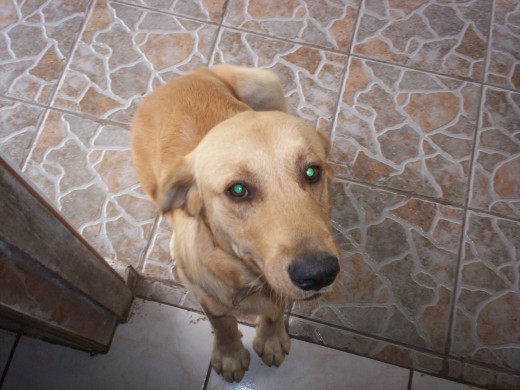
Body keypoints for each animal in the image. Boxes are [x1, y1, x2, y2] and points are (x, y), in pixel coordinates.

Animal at [130, 66, 342, 380]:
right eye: (238, 190)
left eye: (312, 172)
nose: (318, 274)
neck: (246, 275)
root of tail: (183, 77)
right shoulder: (206, 297)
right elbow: (223, 324)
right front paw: (229, 353)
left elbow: (275, 311)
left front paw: (271, 337)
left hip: (266, 85)